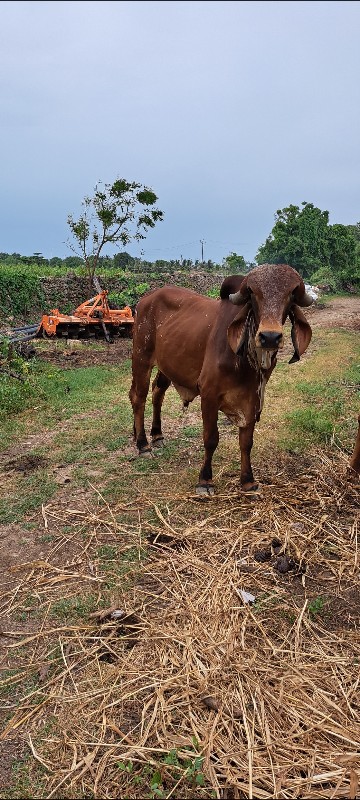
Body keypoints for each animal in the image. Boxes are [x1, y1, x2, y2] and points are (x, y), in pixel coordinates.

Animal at [129, 266, 312, 494]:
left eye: (291, 294)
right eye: (253, 293)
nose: (270, 337)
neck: (244, 360)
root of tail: (146, 298)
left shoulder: (252, 397)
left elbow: (246, 441)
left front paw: (248, 481)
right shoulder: (209, 394)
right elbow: (211, 438)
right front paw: (205, 480)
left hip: (168, 364)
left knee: (157, 391)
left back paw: (156, 435)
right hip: (141, 358)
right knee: (138, 397)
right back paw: (142, 443)